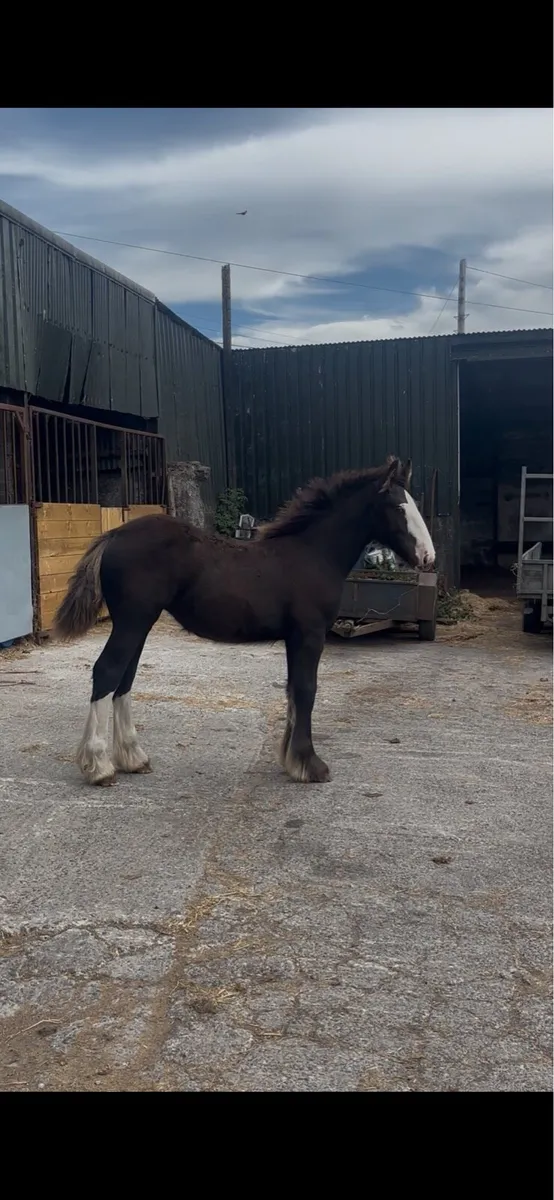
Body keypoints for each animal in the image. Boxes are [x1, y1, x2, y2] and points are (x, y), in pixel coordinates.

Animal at [53, 456, 435, 788]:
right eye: (399, 507)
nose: (428, 557)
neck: (313, 554)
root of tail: (114, 535)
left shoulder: (295, 637)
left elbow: (293, 690)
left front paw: (292, 760)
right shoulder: (310, 634)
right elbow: (306, 690)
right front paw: (310, 765)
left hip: (138, 623)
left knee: (124, 679)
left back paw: (133, 758)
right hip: (133, 621)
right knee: (107, 671)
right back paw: (99, 767)